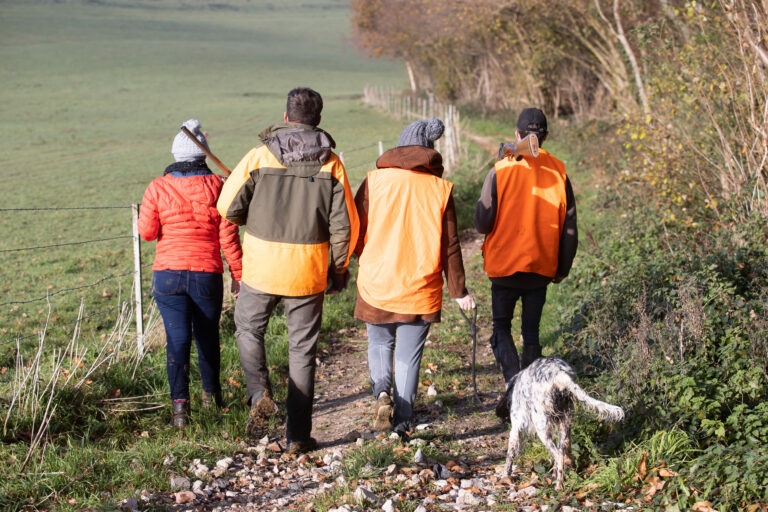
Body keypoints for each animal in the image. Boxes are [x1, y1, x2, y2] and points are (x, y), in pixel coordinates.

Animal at [498, 358, 624, 490]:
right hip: (565, 423)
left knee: (558, 455)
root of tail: (559, 373)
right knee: (563, 451)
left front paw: (505, 477)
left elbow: (509, 456)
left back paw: (559, 486)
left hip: (541, 428)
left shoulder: (516, 429)